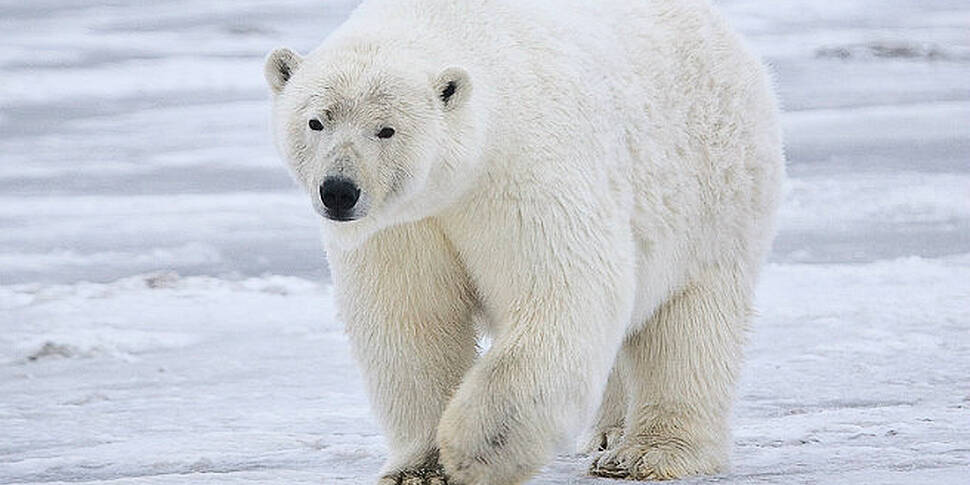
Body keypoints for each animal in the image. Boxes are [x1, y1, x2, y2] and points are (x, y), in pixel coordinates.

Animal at [262, 0, 780, 482]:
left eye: (386, 129)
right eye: (316, 121)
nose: (339, 190)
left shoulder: (524, 170)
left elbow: (562, 293)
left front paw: (473, 450)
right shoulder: (403, 225)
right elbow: (411, 321)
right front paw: (420, 468)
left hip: (712, 192)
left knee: (689, 328)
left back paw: (647, 453)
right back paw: (608, 432)